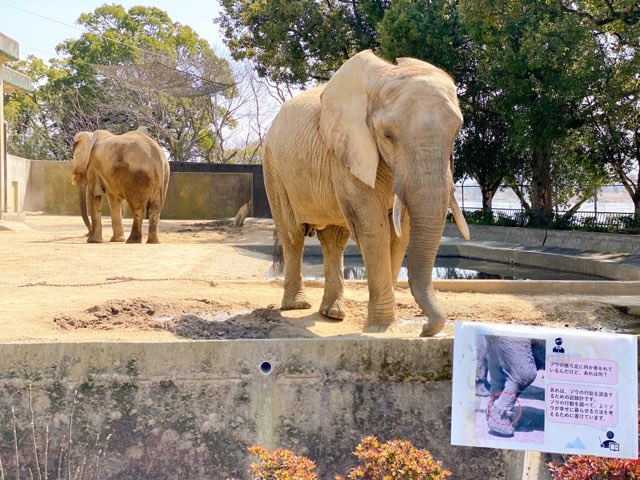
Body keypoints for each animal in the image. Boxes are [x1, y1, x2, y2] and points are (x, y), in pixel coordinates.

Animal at [262, 47, 468, 334]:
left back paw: (333, 313)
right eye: (387, 135)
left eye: (456, 132)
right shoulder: (349, 149)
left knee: (334, 239)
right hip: (273, 166)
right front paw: (382, 328)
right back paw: (296, 306)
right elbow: (373, 228)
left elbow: (400, 233)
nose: (425, 328)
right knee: (293, 234)